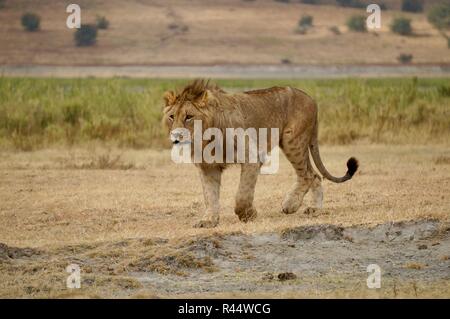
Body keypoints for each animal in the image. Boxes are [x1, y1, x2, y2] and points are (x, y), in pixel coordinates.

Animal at [163, 80, 358, 230]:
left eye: (189, 116)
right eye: (172, 117)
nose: (176, 137)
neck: (205, 138)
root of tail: (310, 98)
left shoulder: (252, 156)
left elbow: (242, 195)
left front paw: (248, 215)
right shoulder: (208, 167)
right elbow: (210, 196)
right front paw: (208, 220)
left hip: (292, 141)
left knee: (308, 175)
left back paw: (290, 205)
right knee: (315, 176)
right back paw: (314, 208)